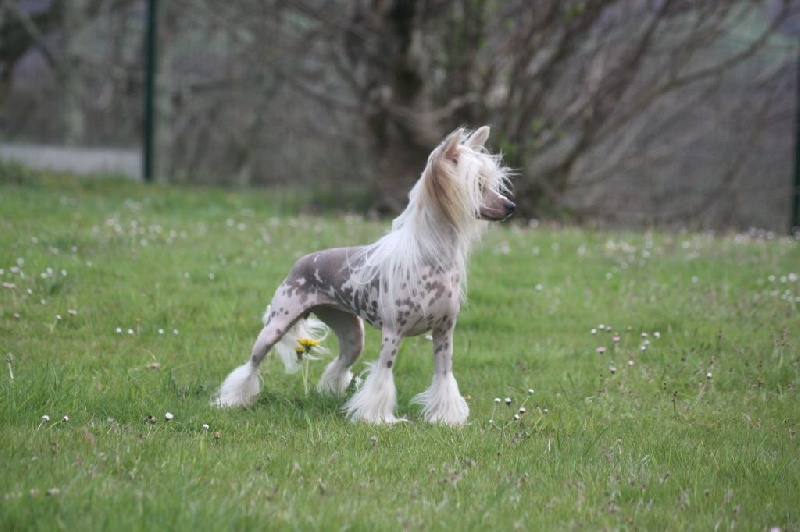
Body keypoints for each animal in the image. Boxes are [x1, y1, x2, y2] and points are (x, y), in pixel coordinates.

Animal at [212, 125, 512, 424]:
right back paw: (232, 400)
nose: (512, 207)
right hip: (275, 326)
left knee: (340, 363)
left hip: (351, 334)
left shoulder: (444, 333)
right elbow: (382, 376)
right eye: (478, 185)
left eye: (492, 184)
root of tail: (301, 261)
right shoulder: (393, 333)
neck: (431, 258)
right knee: (251, 365)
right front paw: (375, 419)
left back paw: (329, 394)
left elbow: (443, 376)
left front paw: (446, 418)